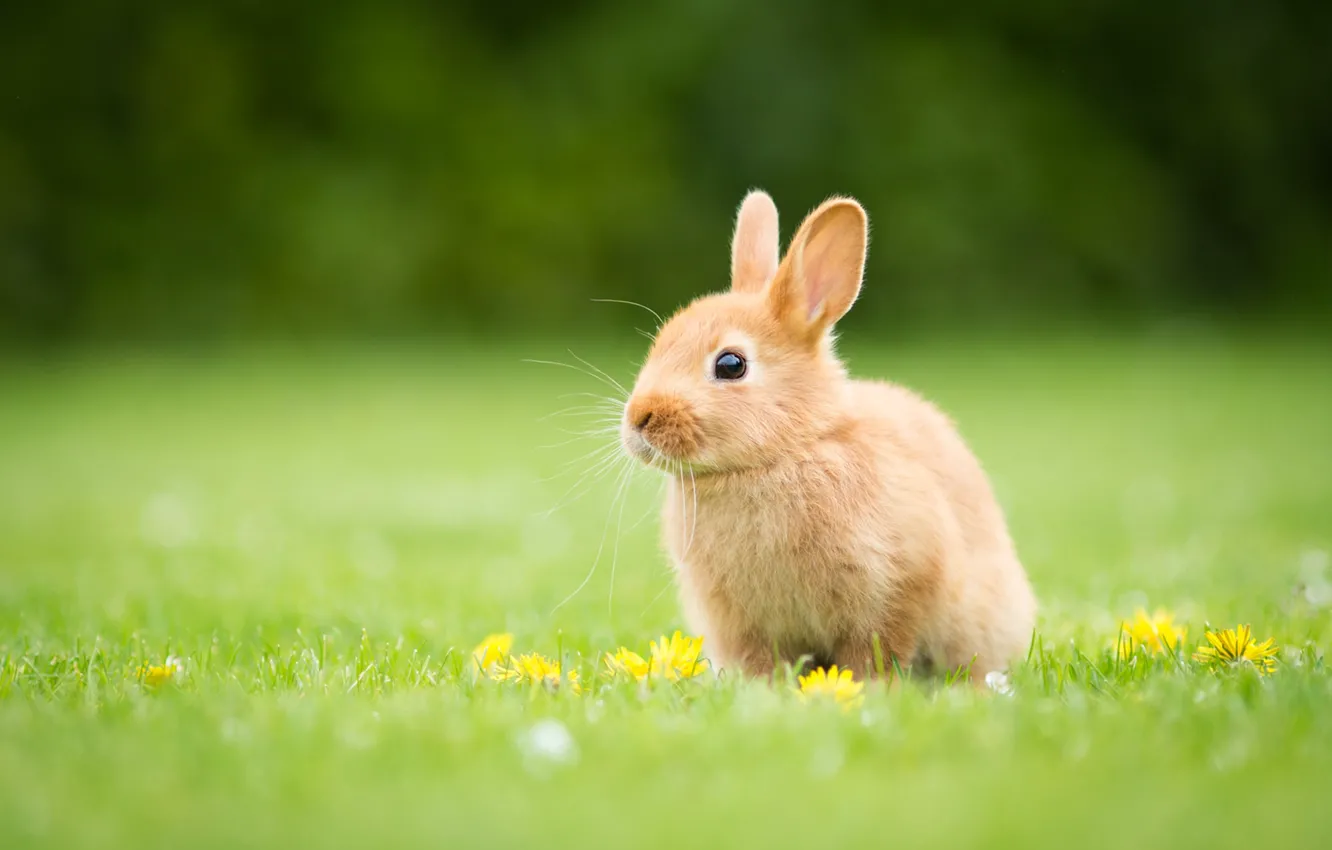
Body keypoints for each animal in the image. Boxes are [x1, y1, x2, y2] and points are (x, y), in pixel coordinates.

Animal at [618, 189, 1037, 682]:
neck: (786, 452)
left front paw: (868, 688)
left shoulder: (893, 593)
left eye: (731, 364)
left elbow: (875, 653)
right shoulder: (741, 625)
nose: (639, 418)